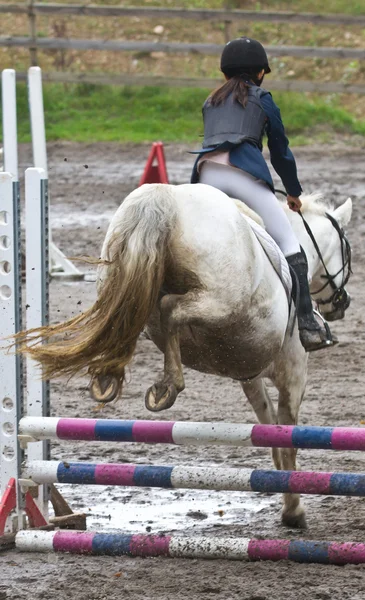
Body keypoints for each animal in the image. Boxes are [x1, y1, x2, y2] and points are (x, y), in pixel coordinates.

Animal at [15, 182, 352, 524]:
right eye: (346, 251)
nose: (341, 304)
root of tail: (163, 198)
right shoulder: (293, 373)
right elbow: (287, 441)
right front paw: (293, 511)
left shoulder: (250, 376)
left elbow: (271, 433)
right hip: (217, 300)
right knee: (169, 310)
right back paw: (167, 386)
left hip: (124, 274)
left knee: (126, 315)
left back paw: (108, 376)